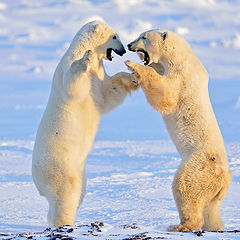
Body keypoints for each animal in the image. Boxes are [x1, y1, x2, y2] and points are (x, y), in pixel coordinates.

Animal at [31, 20, 139, 227]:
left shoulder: (100, 76)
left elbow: (107, 94)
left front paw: (133, 77)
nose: (123, 51)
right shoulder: (67, 69)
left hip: (80, 171)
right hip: (61, 166)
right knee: (66, 194)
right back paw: (64, 222)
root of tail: (38, 182)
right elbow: (73, 86)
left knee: (78, 193)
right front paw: (86, 59)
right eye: (115, 36)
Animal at [125, 29, 232, 232]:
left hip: (199, 166)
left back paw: (179, 225)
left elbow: (166, 94)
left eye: (144, 37)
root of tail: (225, 178)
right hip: (215, 191)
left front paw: (131, 65)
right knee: (211, 209)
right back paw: (213, 227)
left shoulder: (182, 76)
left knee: (186, 187)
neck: (180, 56)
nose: (129, 45)